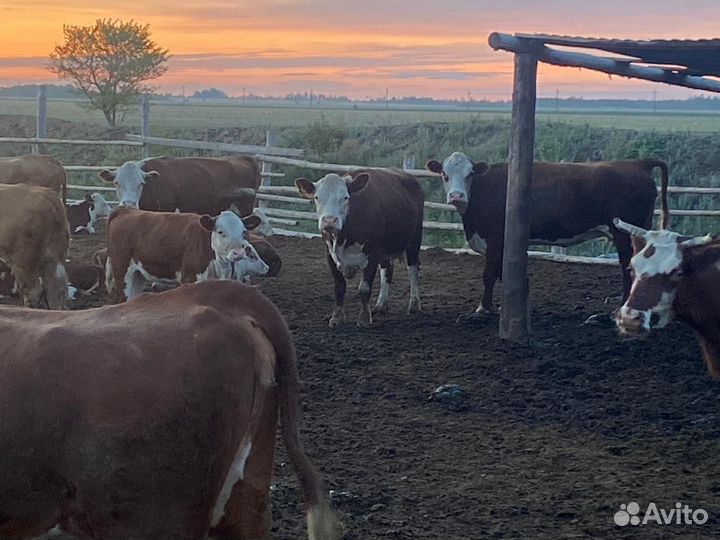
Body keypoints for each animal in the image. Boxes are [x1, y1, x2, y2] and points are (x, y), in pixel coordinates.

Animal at [107, 208, 269, 301]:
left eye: (243, 231)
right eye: (220, 232)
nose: (238, 253)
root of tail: (126, 211)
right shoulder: (190, 279)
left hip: (137, 274)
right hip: (122, 272)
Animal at [295, 168, 424, 327]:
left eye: (345, 197)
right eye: (317, 197)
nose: (329, 221)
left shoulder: (372, 253)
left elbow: (364, 288)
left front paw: (364, 318)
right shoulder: (329, 254)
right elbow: (339, 287)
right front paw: (337, 317)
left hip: (414, 240)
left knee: (413, 269)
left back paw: (414, 305)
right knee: (387, 269)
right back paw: (381, 305)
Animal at [426, 152, 670, 318]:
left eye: (470, 174)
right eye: (444, 174)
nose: (457, 196)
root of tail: (637, 163)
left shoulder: (495, 239)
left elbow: (489, 274)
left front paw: (483, 308)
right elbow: (503, 275)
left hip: (625, 235)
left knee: (628, 268)